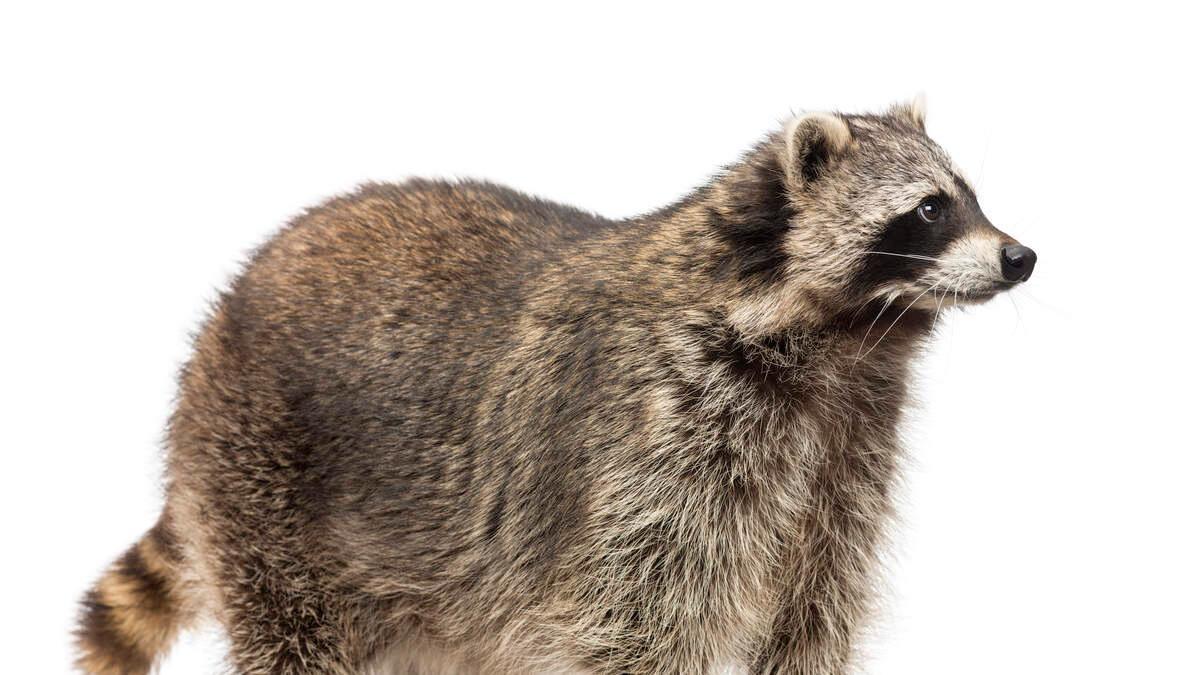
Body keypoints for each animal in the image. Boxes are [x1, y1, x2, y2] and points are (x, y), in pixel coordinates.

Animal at [76, 100, 1035, 675]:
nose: (1022, 256)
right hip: (261, 482)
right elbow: (640, 620)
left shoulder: (845, 454)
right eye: (929, 208)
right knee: (296, 633)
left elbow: (812, 609)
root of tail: (220, 322)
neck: (846, 345)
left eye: (970, 195)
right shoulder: (656, 443)